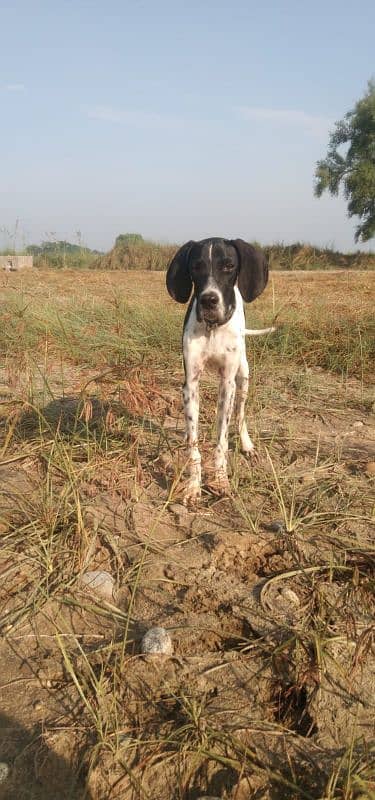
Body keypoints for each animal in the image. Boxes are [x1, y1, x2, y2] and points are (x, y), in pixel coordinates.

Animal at [166, 234, 274, 504]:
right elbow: (194, 445)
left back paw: (247, 444)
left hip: (243, 377)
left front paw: (221, 480)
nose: (208, 300)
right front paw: (194, 485)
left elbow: (222, 440)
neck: (213, 328)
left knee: (240, 414)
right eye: (196, 266)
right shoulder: (190, 384)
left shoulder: (227, 384)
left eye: (228, 266)